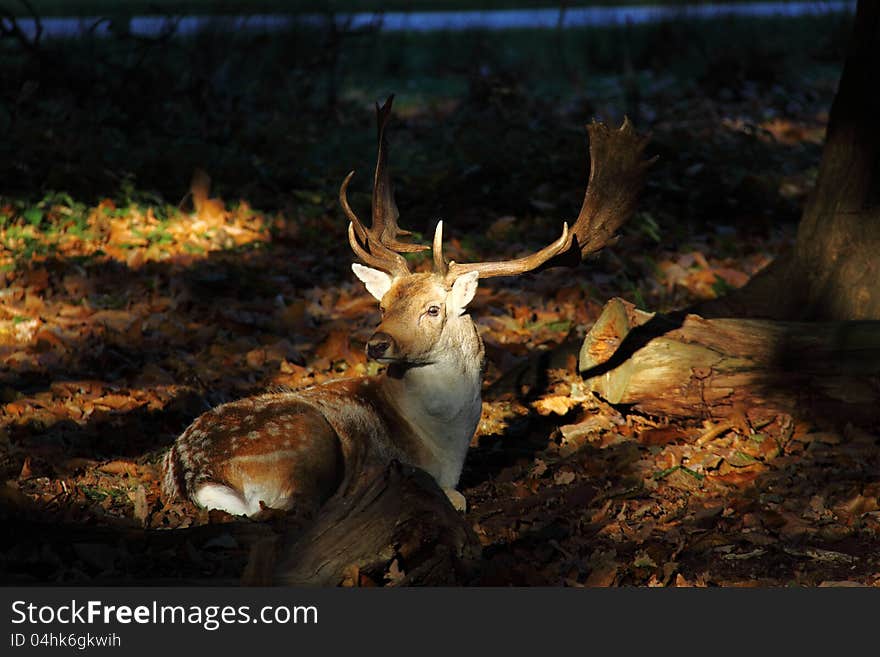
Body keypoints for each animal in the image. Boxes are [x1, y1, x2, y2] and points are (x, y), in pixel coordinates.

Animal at [160, 96, 652, 516]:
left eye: (432, 310)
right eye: (383, 306)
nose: (377, 344)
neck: (444, 442)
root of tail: (192, 473)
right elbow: (457, 497)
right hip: (303, 439)